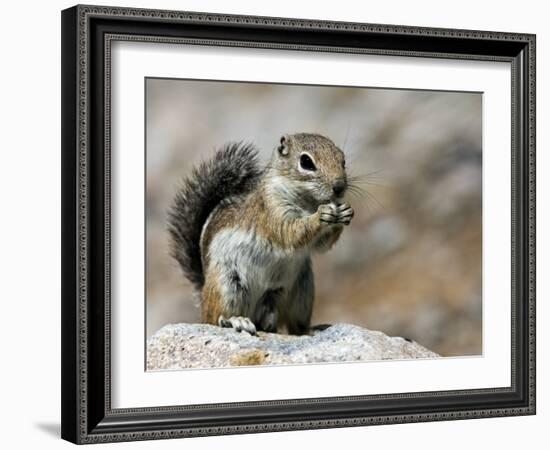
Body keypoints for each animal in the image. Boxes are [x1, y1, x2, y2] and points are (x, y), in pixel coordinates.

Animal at [168, 132, 356, 336]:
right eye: (306, 162)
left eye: (343, 160)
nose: (339, 187)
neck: (308, 202)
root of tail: (203, 292)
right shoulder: (272, 209)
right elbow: (291, 232)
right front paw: (320, 215)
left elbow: (321, 245)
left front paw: (345, 212)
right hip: (227, 284)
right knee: (214, 318)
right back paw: (236, 320)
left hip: (301, 291)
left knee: (293, 325)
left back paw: (307, 330)